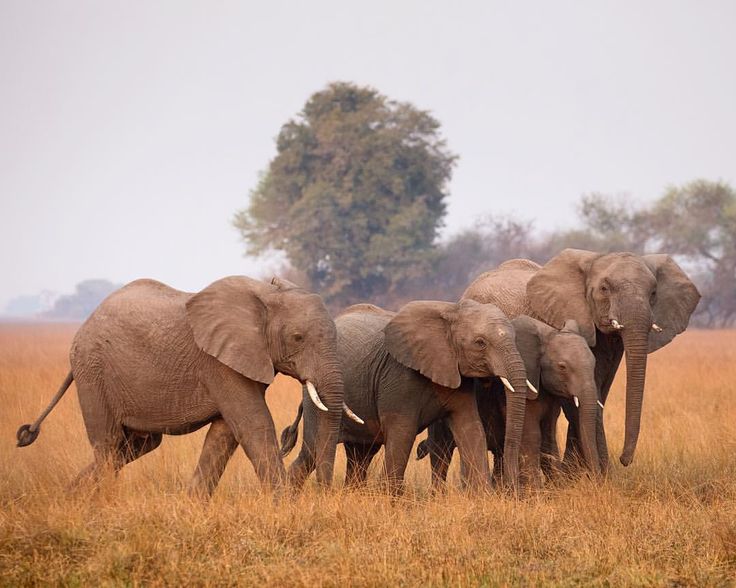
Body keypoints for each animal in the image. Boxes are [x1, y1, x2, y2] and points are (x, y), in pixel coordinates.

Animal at [16, 275, 358, 496]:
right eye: (298, 338)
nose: (324, 495)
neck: (266, 293)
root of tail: (84, 325)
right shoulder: (219, 363)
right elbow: (253, 425)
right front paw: (284, 503)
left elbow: (225, 433)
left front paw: (192, 504)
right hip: (92, 369)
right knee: (108, 442)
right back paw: (103, 501)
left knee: (137, 444)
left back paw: (71, 496)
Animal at [280, 300, 534, 494]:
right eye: (480, 343)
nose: (512, 488)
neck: (450, 310)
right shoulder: (398, 378)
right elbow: (402, 433)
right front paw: (389, 500)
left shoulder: (457, 376)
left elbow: (470, 429)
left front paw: (485, 496)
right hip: (316, 400)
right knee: (312, 452)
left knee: (360, 457)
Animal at [416, 315, 598, 489]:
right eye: (562, 367)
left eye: (594, 364)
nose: (595, 478)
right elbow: (532, 437)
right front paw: (533, 492)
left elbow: (548, 437)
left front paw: (556, 488)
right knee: (441, 454)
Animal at [462, 250, 700, 471]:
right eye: (604, 289)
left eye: (653, 293)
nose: (624, 460)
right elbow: (575, 397)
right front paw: (587, 474)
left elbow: (600, 389)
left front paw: (590, 473)